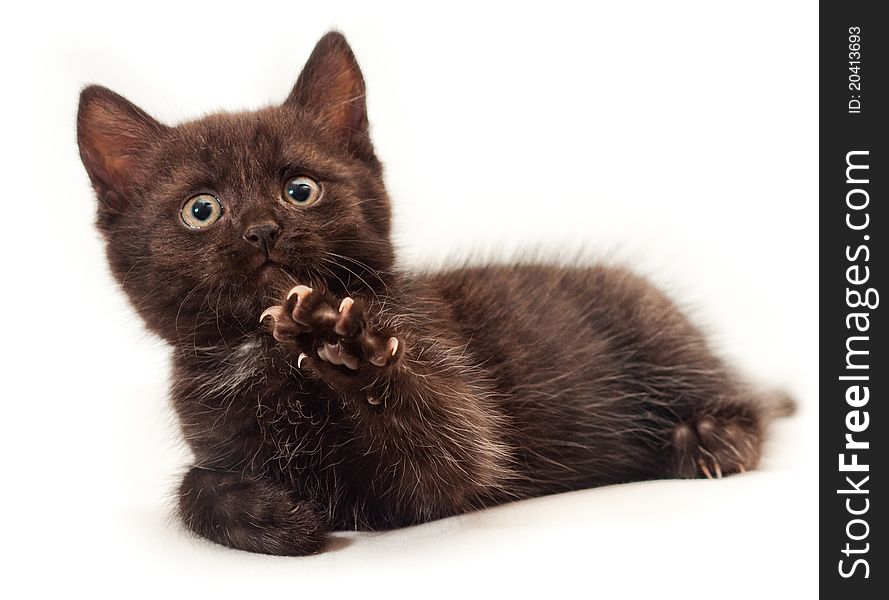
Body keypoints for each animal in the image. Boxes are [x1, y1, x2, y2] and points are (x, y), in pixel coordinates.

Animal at [80, 30, 796, 556]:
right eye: (201, 211)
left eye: (300, 189)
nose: (262, 230)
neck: (268, 350)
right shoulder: (214, 426)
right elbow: (192, 488)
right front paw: (269, 515)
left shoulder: (446, 453)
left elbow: (443, 445)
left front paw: (344, 345)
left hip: (655, 327)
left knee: (741, 398)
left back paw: (711, 438)